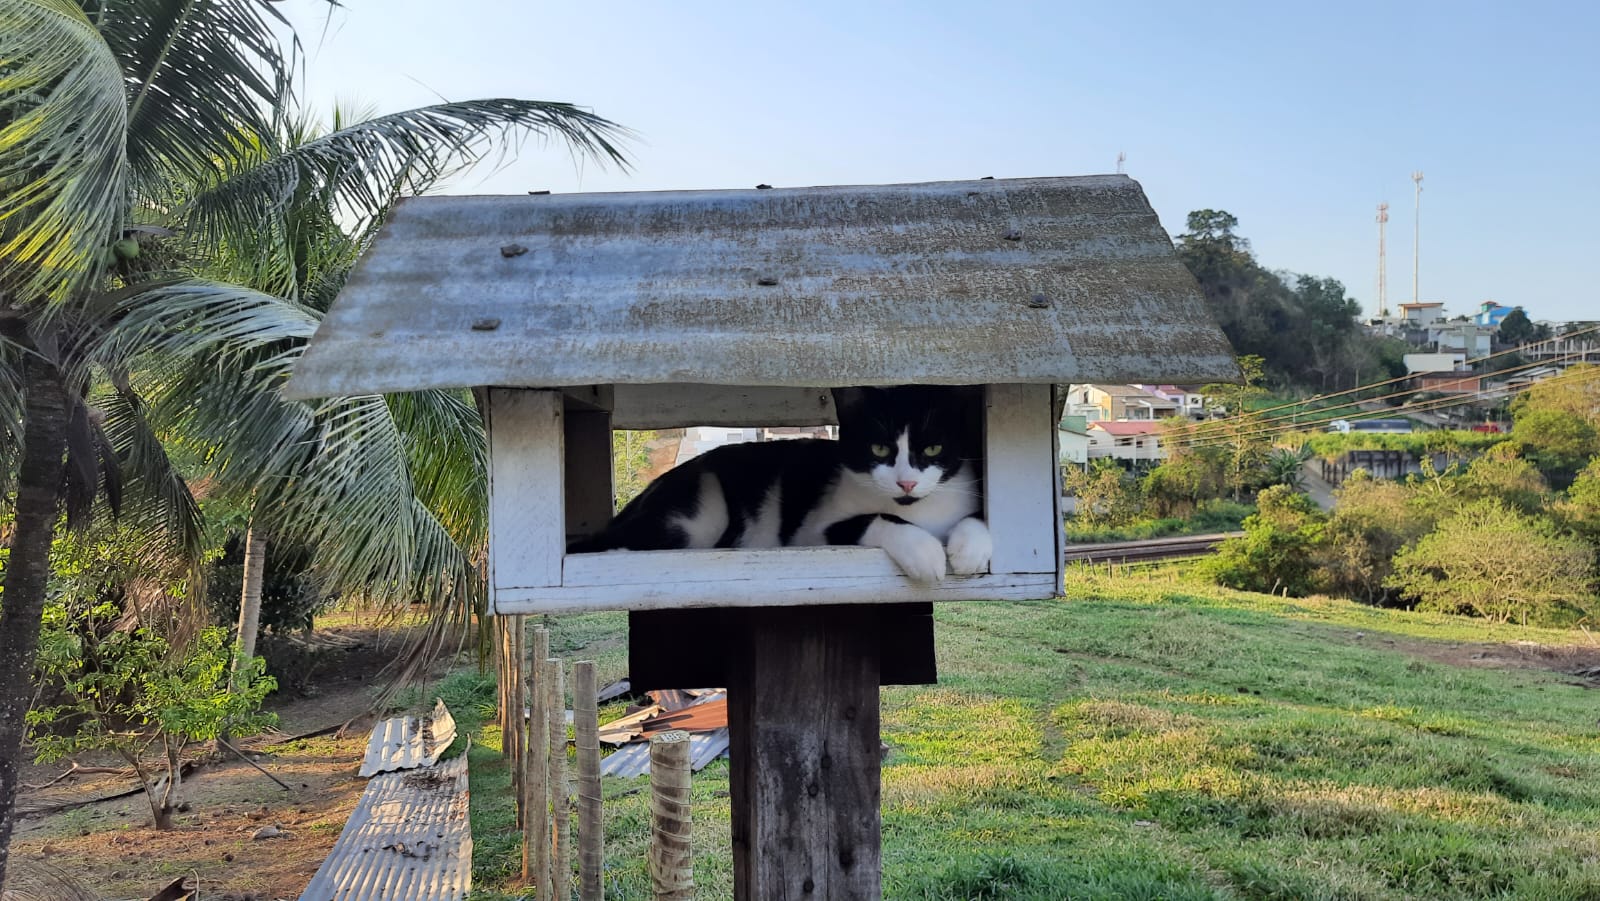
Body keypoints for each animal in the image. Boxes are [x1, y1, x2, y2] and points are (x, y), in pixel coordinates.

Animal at [563, 384, 985, 582]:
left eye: (933, 448)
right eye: (879, 448)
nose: (906, 483)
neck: (918, 510)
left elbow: (978, 517)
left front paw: (970, 551)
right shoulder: (813, 529)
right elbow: (874, 520)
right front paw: (925, 552)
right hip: (705, 508)